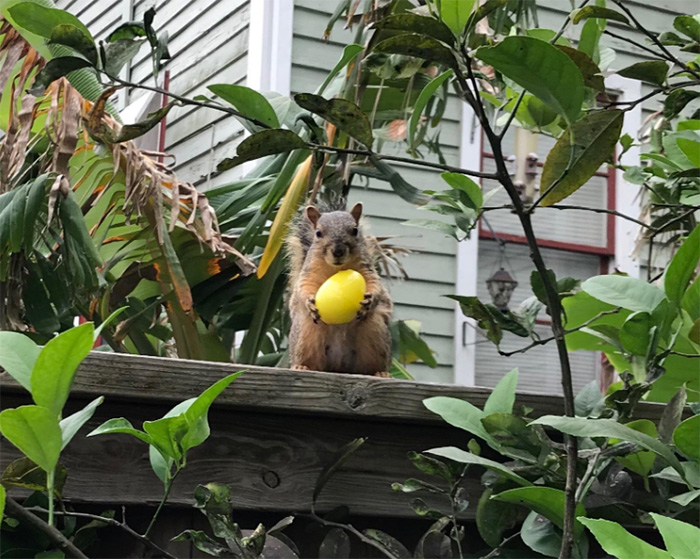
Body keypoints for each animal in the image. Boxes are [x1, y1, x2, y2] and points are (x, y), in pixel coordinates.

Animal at [286, 202, 393, 377]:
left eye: (355, 230)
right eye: (318, 233)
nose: (338, 251)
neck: (337, 268)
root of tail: (339, 366)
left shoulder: (367, 269)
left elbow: (374, 283)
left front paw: (370, 299)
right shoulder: (309, 271)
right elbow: (304, 286)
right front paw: (309, 302)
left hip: (375, 332)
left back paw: (380, 373)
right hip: (307, 334)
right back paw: (301, 367)